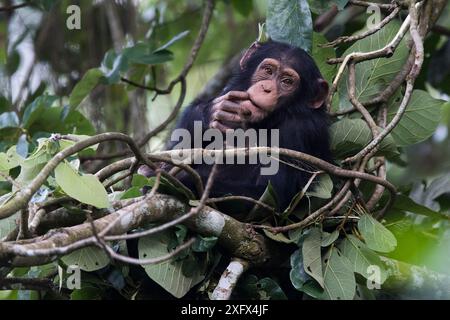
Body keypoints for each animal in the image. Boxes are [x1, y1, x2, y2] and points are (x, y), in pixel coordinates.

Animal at [139, 40, 332, 212]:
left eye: (287, 81)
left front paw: (171, 181)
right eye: (268, 71)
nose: (267, 88)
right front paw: (212, 112)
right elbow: (179, 144)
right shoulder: (231, 89)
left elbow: (269, 197)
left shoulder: (300, 131)